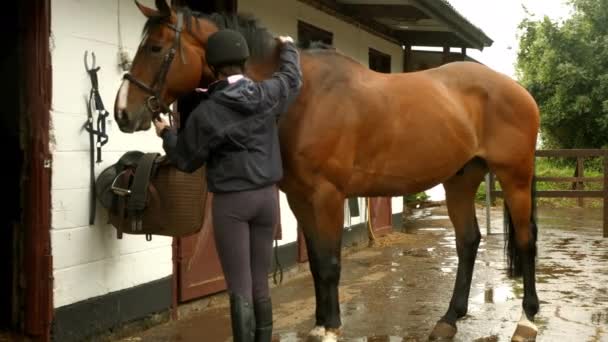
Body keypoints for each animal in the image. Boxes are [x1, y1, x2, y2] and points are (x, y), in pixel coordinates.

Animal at [115, 1, 540, 340]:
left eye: (155, 48)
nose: (123, 113)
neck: (304, 95)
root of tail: (517, 89)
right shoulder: (300, 199)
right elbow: (318, 264)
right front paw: (320, 323)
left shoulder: (328, 196)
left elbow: (331, 264)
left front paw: (332, 328)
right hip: (461, 180)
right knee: (468, 242)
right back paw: (449, 319)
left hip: (514, 178)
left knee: (525, 242)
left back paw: (527, 319)